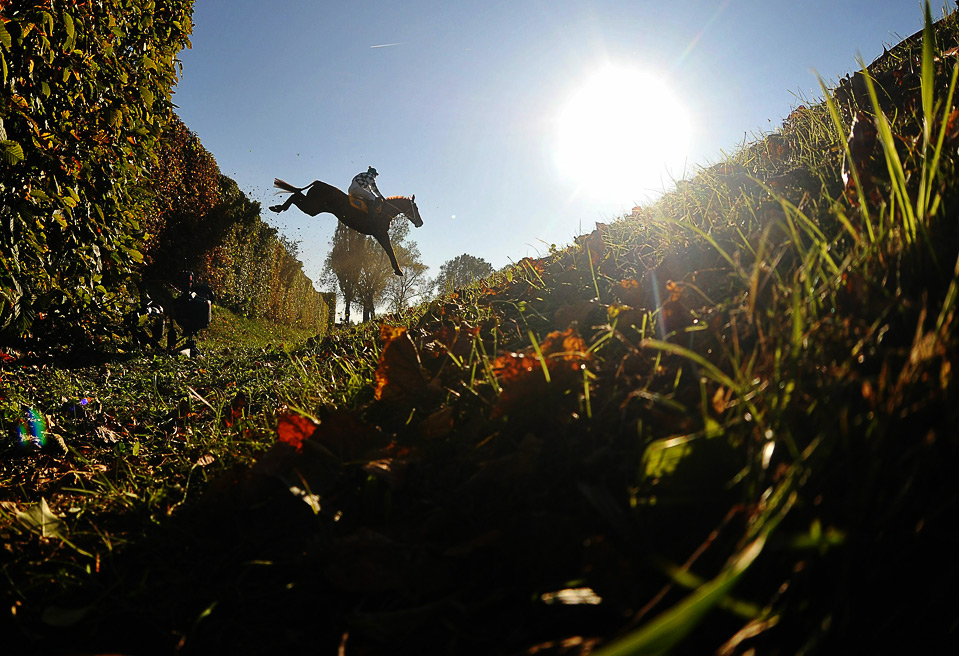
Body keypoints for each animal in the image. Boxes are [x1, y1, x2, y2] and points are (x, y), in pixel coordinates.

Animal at [269, 178, 423, 276]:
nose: (420, 223)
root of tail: (319, 183)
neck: (384, 211)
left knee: (296, 194)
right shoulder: (380, 233)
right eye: (416, 208)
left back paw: (277, 207)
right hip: (312, 207)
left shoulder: (380, 234)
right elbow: (390, 251)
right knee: (295, 196)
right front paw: (399, 271)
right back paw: (278, 207)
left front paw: (398, 270)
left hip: (314, 207)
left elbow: (389, 250)